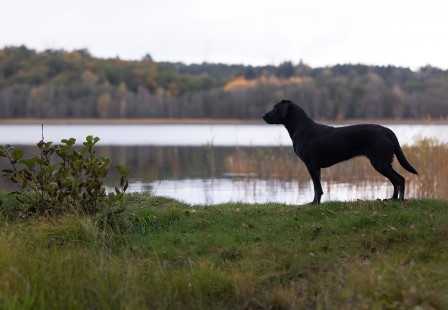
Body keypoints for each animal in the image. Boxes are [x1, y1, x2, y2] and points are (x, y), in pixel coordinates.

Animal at [260, 99, 418, 205]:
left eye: (275, 108)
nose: (263, 116)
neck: (301, 128)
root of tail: (387, 130)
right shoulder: (316, 167)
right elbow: (316, 187)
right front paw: (315, 202)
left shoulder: (310, 164)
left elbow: (317, 187)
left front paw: (315, 204)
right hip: (382, 163)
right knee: (396, 181)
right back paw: (392, 199)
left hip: (380, 162)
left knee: (400, 179)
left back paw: (400, 201)